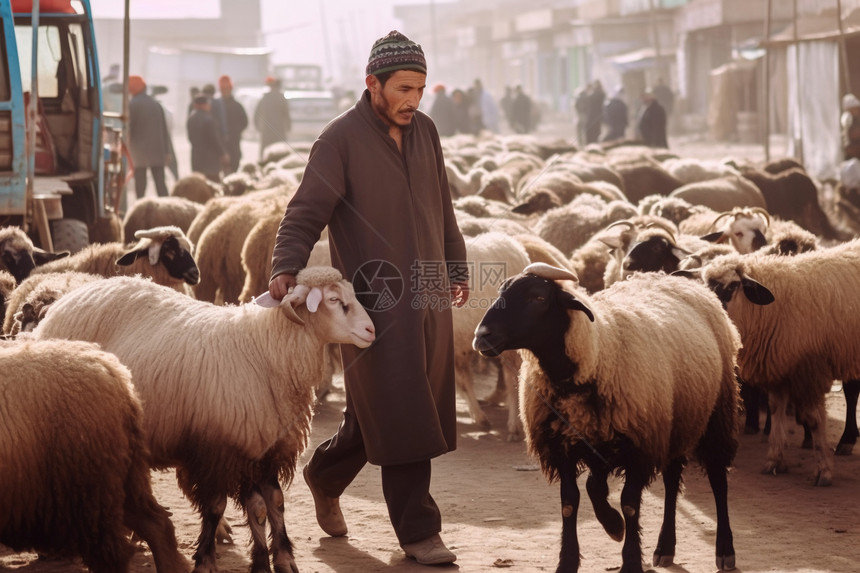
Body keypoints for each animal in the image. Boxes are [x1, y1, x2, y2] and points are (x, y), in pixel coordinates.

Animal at [33, 268, 376, 572]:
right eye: (334, 299)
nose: (371, 331)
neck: (266, 350)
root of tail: (67, 298)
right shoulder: (222, 449)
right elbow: (223, 506)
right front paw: (209, 561)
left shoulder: (263, 447)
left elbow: (270, 504)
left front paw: (279, 560)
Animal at [470, 264, 740, 572]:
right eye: (501, 291)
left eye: (538, 298)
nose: (482, 335)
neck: (597, 353)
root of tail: (676, 278)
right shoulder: (570, 445)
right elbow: (574, 500)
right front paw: (596, 539)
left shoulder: (638, 446)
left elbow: (630, 505)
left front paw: (630, 558)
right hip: (678, 421)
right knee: (672, 480)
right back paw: (665, 547)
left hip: (716, 414)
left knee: (718, 479)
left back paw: (725, 550)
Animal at [704, 239, 860, 484]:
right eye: (706, 284)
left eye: (732, 286)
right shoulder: (779, 368)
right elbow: (776, 409)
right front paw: (775, 460)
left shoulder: (809, 370)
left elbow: (814, 419)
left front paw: (823, 470)